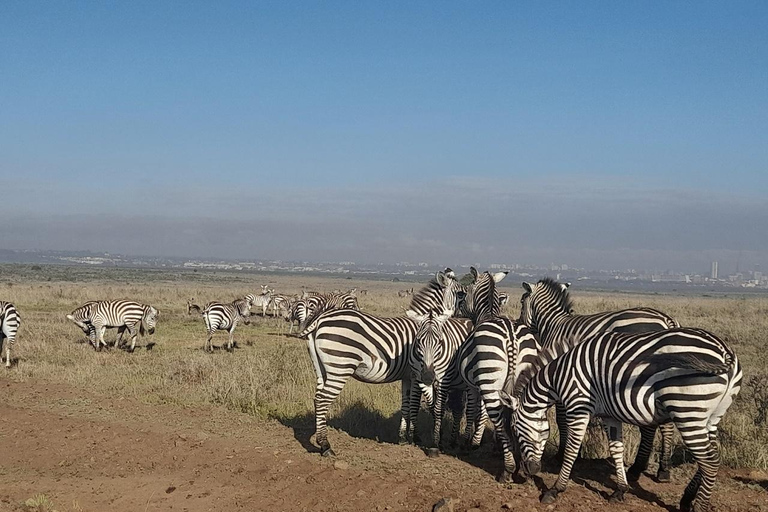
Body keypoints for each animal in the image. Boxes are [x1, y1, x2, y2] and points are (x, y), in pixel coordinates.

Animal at [304, 268, 464, 456]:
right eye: (461, 294)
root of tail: (320, 320)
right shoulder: (417, 374)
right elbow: (417, 405)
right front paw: (419, 438)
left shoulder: (407, 377)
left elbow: (406, 405)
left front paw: (403, 438)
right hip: (340, 367)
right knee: (323, 400)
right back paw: (326, 445)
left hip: (322, 369)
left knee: (317, 398)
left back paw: (321, 441)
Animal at [456, 270, 540, 482]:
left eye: (464, 294)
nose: (457, 312)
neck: (488, 313)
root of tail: (511, 337)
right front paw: (497, 447)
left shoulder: (473, 385)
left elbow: (474, 411)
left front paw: (470, 441)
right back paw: (525, 468)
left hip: (489, 381)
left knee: (499, 422)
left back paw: (508, 469)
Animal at [500, 328, 740, 512]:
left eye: (515, 429)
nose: (527, 472)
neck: (559, 375)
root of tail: (723, 350)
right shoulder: (609, 416)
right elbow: (617, 449)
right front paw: (620, 491)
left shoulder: (578, 407)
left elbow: (571, 450)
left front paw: (554, 490)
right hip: (711, 416)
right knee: (713, 456)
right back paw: (686, 499)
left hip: (688, 410)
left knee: (709, 461)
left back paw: (698, 506)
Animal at [516, 276, 680, 480]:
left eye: (521, 302)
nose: (517, 323)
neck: (554, 323)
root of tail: (666, 319)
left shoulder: (559, 376)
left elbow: (562, 420)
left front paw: (561, 454)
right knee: (665, 424)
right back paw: (662, 469)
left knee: (650, 426)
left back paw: (638, 468)